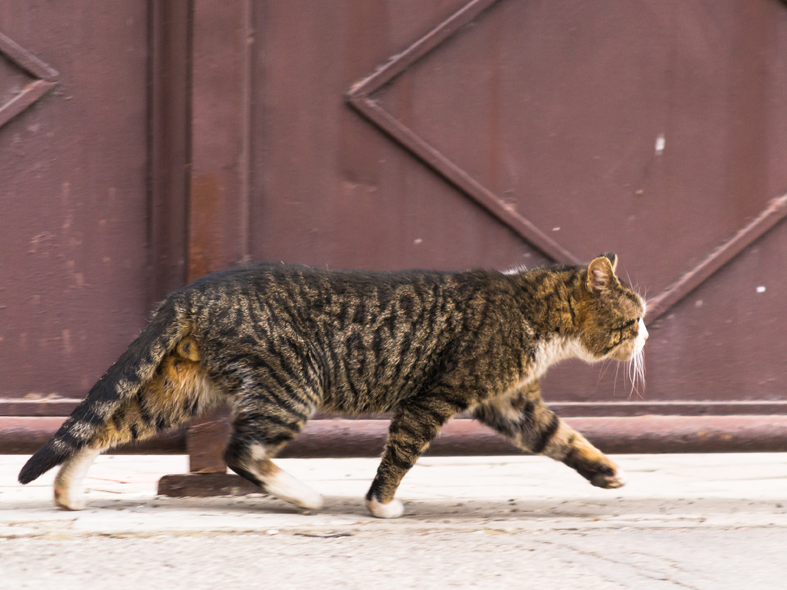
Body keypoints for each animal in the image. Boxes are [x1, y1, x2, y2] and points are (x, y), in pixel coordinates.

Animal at [18, 252, 648, 520]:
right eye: (633, 319)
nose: (648, 334)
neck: (532, 309)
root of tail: (190, 292)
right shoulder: (435, 397)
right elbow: (400, 455)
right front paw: (380, 506)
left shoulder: (511, 403)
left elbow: (562, 437)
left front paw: (606, 472)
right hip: (293, 387)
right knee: (240, 450)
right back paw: (305, 496)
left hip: (180, 389)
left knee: (104, 426)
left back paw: (67, 492)